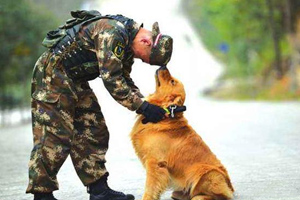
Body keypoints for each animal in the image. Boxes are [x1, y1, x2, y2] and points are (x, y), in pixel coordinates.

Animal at [130, 67, 233, 200]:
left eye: (172, 81)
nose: (163, 66)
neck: (165, 114)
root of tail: (231, 188)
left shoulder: (155, 163)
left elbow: (150, 187)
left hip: (208, 172)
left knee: (218, 196)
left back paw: (198, 197)